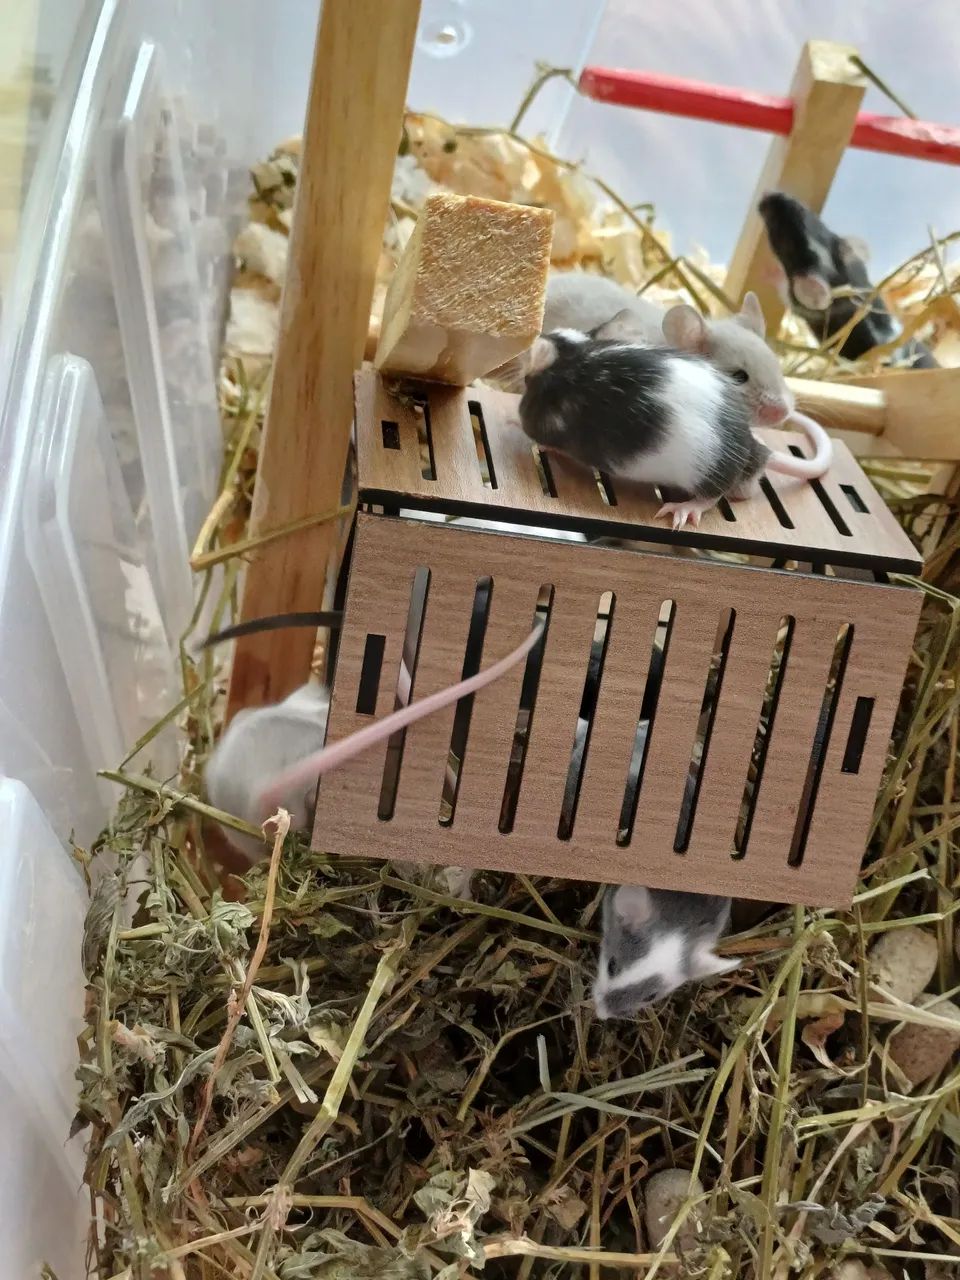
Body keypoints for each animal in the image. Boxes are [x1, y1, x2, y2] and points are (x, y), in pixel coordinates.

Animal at [518, 328, 832, 530]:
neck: (573, 357)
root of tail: (751, 448)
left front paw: (541, 444)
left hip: (705, 472)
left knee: (714, 495)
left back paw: (687, 508)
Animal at [758, 191, 938, 369]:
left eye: (783, 239)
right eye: (810, 214)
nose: (766, 195)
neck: (850, 280)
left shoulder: (801, 304)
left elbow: (785, 291)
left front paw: (770, 271)